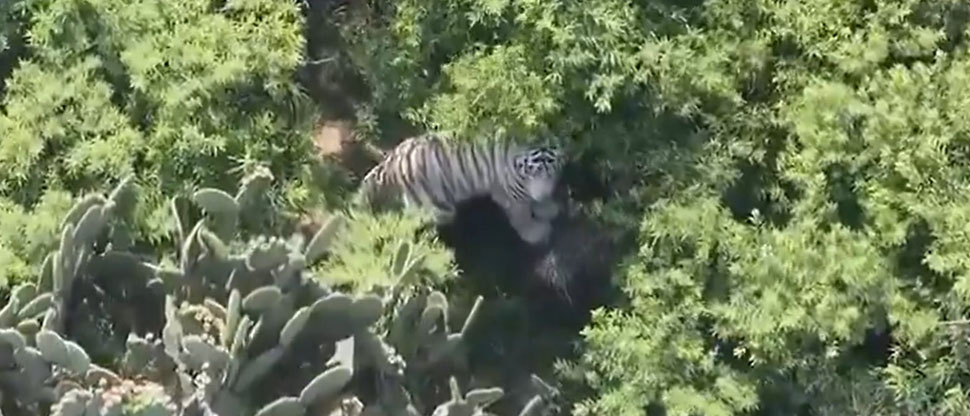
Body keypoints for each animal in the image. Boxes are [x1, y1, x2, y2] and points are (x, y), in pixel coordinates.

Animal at [353, 131, 565, 245]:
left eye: (551, 170)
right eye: (533, 170)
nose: (543, 194)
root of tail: (392, 161)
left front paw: (546, 206)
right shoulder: (510, 192)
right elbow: (522, 214)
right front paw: (535, 232)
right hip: (437, 207)